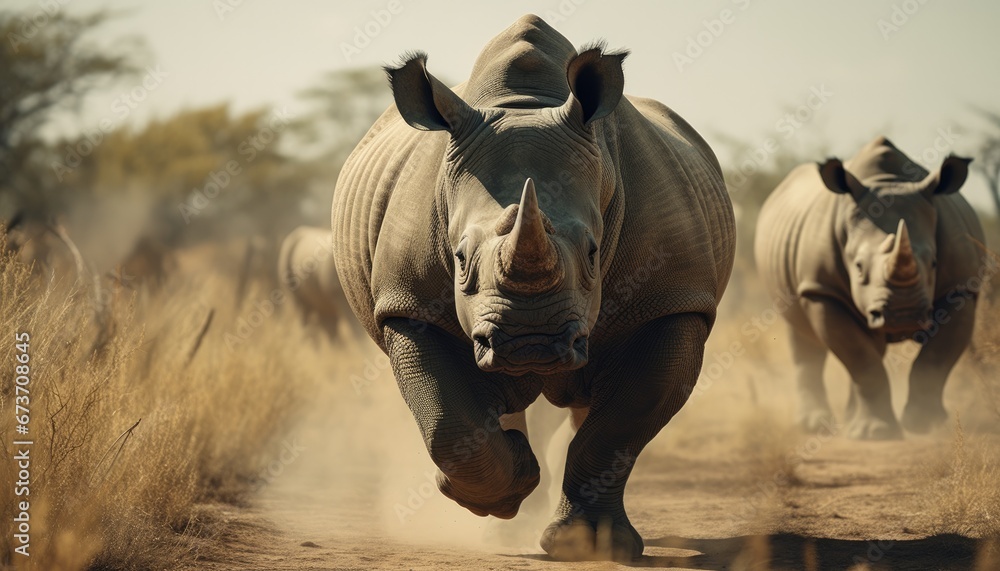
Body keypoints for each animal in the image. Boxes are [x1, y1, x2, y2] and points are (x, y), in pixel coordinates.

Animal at [331, 15, 734, 560]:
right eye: (459, 258)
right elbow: (447, 421)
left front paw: (586, 547)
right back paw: (506, 513)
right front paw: (500, 490)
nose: (530, 343)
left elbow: (620, 426)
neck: (525, 106)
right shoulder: (409, 304)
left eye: (592, 253)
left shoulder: (673, 302)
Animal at [755, 136, 985, 440]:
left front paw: (925, 425)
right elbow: (860, 359)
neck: (888, 182)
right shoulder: (822, 289)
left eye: (934, 262)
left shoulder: (960, 288)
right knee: (804, 337)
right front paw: (875, 433)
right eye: (859, 267)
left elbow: (935, 359)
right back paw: (816, 425)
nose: (904, 315)